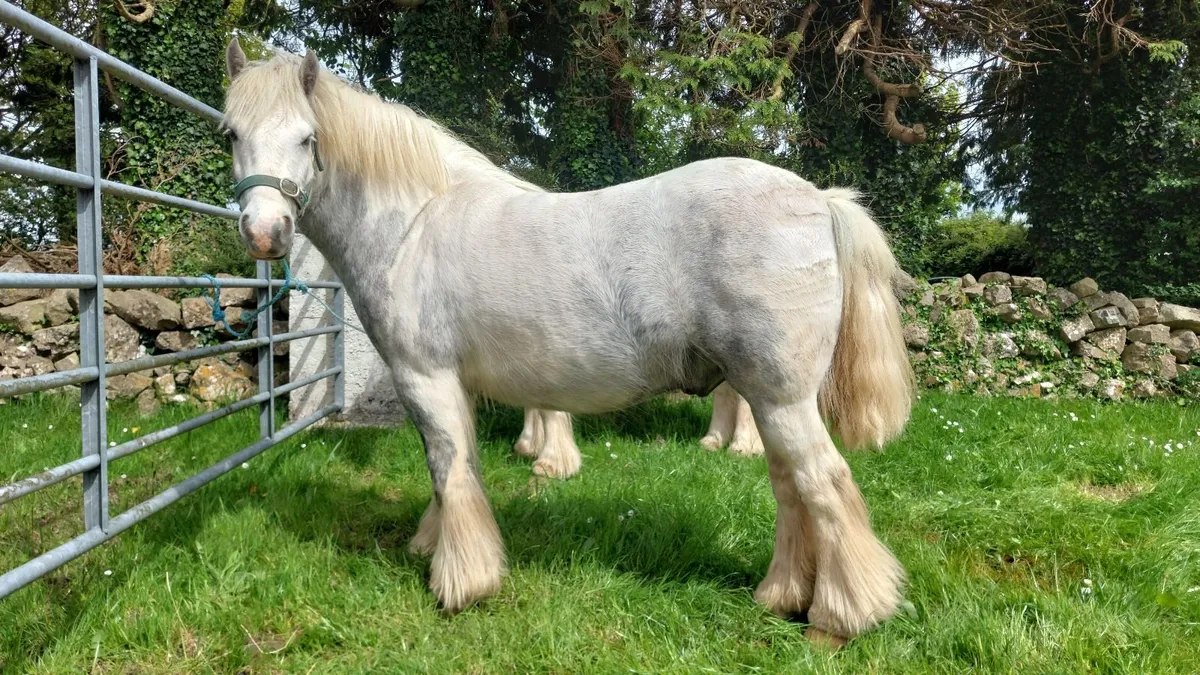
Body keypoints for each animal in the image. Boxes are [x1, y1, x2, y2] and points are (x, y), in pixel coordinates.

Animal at [222, 42, 914, 644]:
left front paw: (461, 584)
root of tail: (818, 199)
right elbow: (457, 470)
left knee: (824, 485)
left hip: (779, 397)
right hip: (772, 399)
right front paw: (437, 543)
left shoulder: (425, 376)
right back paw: (781, 596)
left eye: (307, 138)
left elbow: (448, 470)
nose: (265, 233)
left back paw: (842, 618)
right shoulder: (456, 385)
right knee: (791, 488)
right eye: (231, 133)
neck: (415, 224)